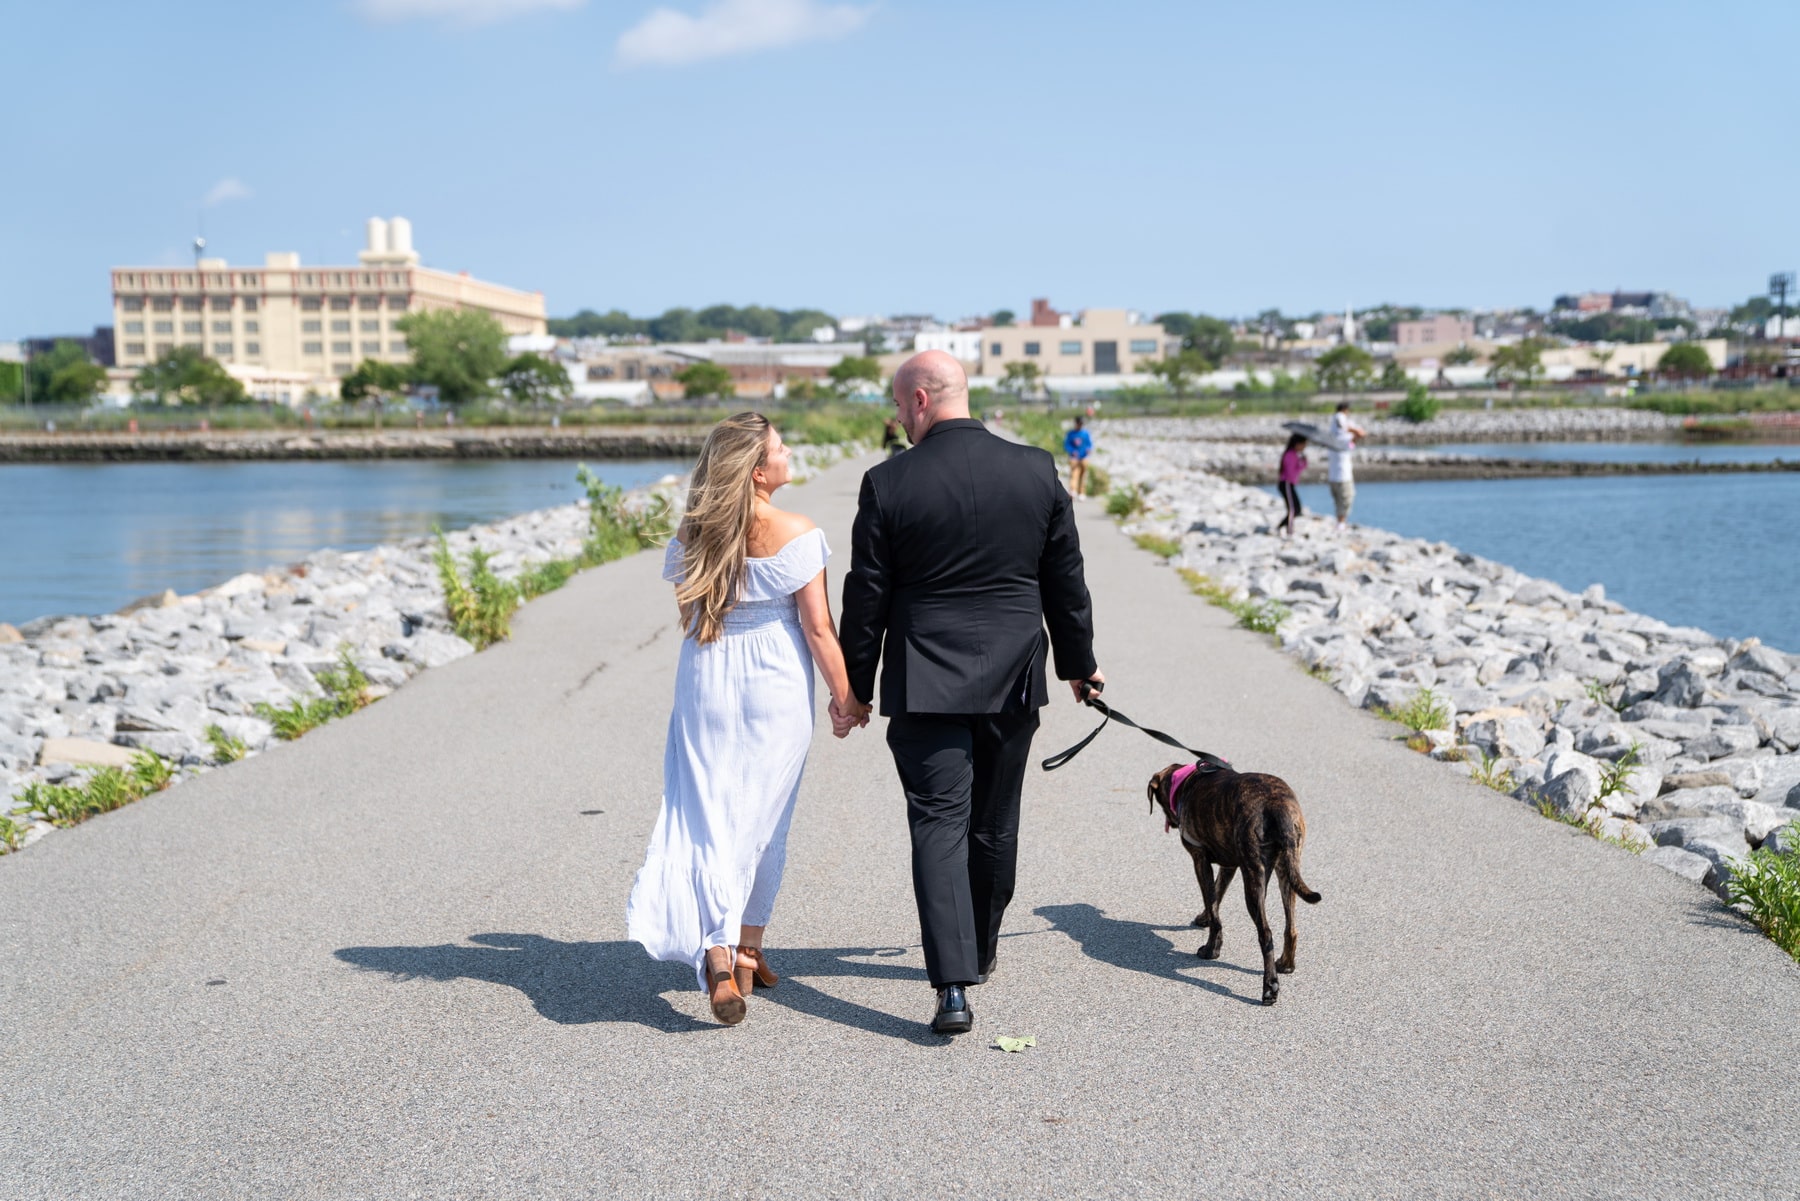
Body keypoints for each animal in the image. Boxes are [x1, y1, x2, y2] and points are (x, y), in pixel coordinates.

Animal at [1152, 759, 1324, 1008]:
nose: (1171, 822)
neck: (1187, 781)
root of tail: (1276, 806)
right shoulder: (1229, 866)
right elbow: (1216, 895)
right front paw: (1204, 918)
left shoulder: (1200, 860)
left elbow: (1214, 908)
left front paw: (1211, 950)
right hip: (1287, 868)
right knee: (1290, 928)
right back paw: (1286, 964)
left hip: (1253, 879)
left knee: (1266, 934)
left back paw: (1269, 988)